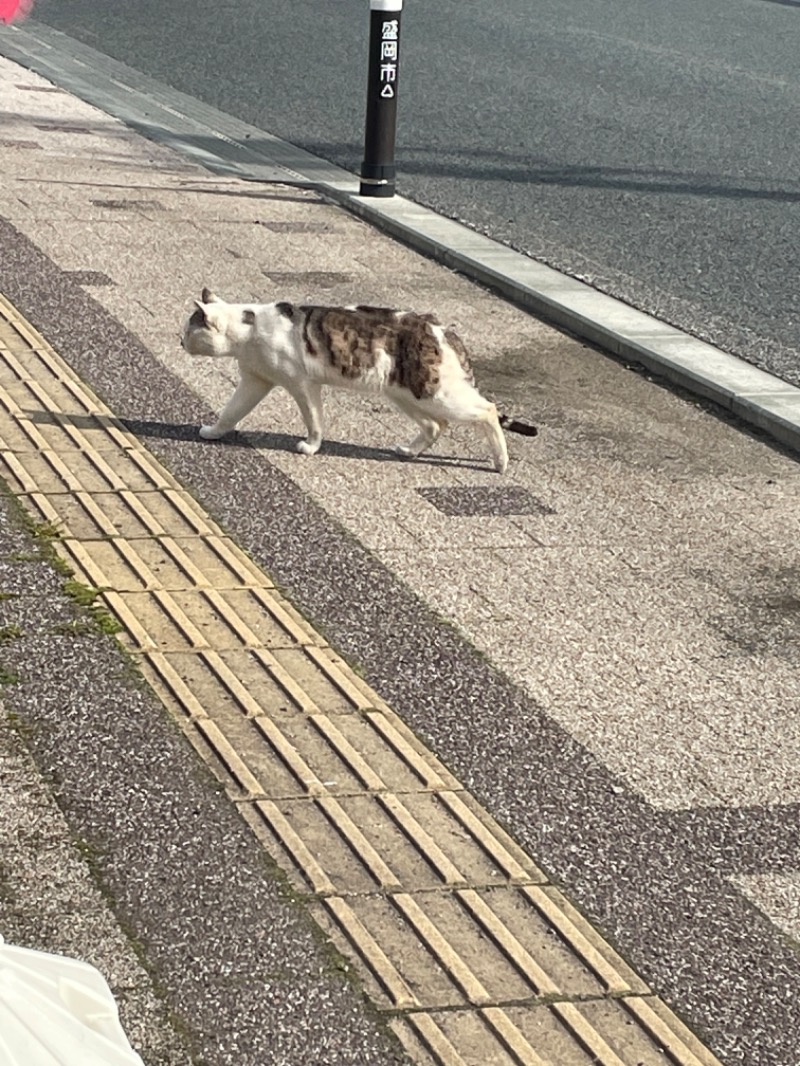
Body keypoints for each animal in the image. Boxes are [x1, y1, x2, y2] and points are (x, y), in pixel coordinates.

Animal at [179, 292, 509, 475]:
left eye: (188, 330)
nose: (179, 340)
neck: (249, 331)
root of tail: (443, 330)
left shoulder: (303, 384)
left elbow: (313, 420)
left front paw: (311, 446)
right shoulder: (255, 380)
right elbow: (231, 412)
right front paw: (213, 432)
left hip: (436, 392)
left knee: (487, 410)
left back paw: (501, 461)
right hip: (405, 394)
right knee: (435, 425)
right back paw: (409, 451)